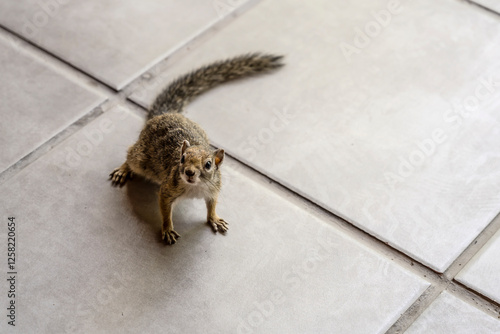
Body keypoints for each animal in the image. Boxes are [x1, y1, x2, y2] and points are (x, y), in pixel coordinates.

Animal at [110, 53, 286, 244]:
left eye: (208, 164)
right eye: (182, 159)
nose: (189, 172)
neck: (196, 186)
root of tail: (163, 115)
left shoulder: (214, 188)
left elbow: (212, 206)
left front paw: (214, 219)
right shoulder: (168, 189)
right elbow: (165, 210)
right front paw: (167, 229)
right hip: (141, 159)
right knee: (131, 156)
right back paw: (123, 170)